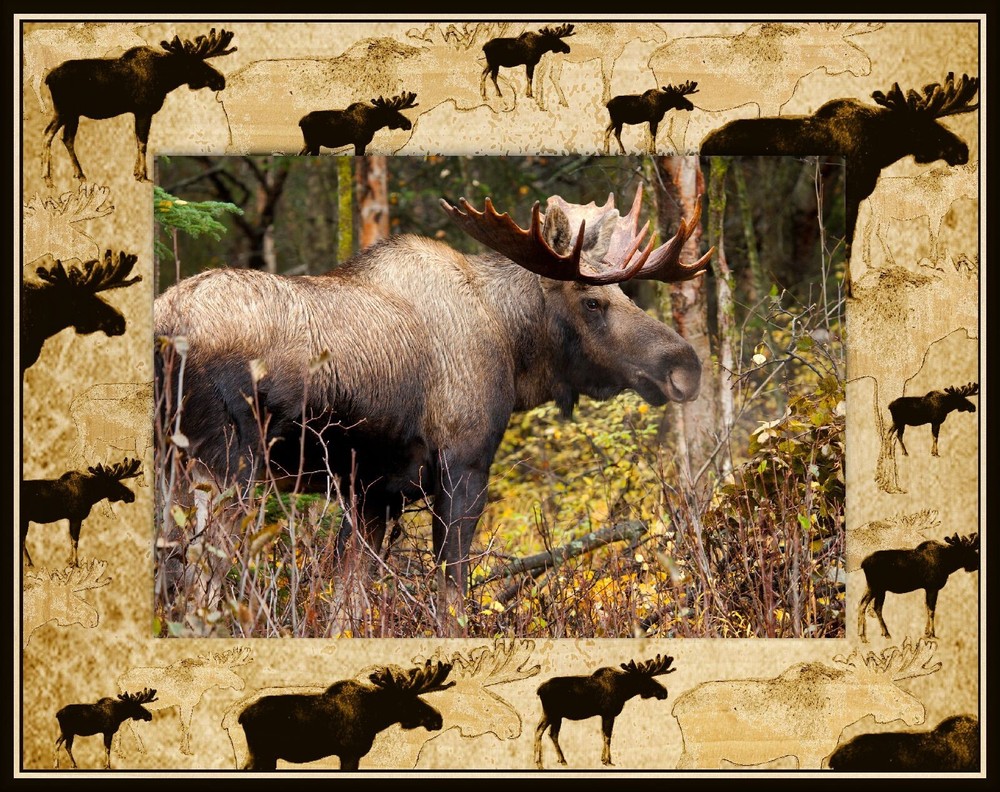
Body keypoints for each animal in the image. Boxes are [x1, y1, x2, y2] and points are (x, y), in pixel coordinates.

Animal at [41, 27, 236, 186]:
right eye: (195, 64)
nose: (221, 79)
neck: (166, 80)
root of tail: (49, 77)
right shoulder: (144, 110)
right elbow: (143, 142)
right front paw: (143, 175)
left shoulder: (138, 112)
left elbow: (138, 140)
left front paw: (137, 173)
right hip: (64, 110)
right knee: (48, 134)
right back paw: (48, 178)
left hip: (73, 114)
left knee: (66, 138)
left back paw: (79, 174)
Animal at [534, 654, 676, 768]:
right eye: (646, 680)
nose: (664, 692)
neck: (625, 691)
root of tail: (539, 690)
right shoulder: (609, 713)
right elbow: (608, 737)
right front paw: (608, 761)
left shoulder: (604, 715)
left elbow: (603, 735)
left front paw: (603, 759)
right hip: (552, 713)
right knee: (543, 732)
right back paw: (541, 762)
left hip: (552, 715)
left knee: (548, 733)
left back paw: (557, 760)